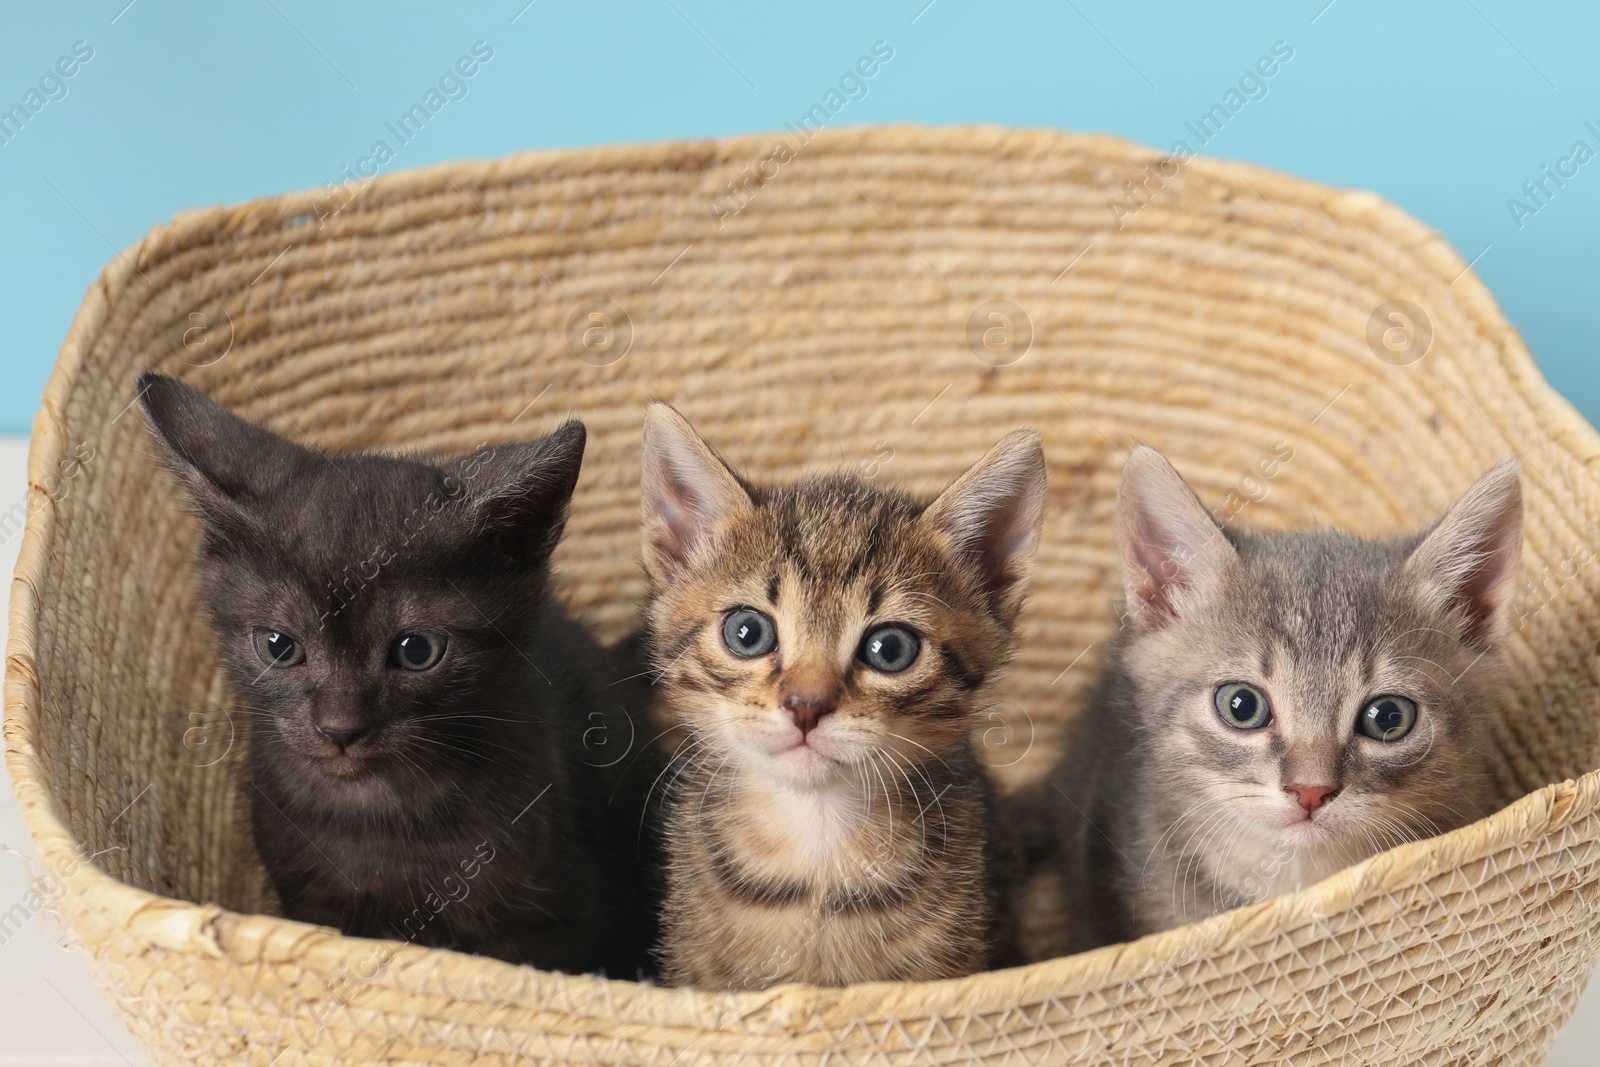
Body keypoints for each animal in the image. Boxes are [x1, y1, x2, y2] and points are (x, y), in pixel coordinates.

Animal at [137, 374, 659, 979]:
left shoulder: (556, 924)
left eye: (417, 651)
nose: (340, 728)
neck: (378, 814)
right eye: (279, 647)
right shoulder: (313, 902)